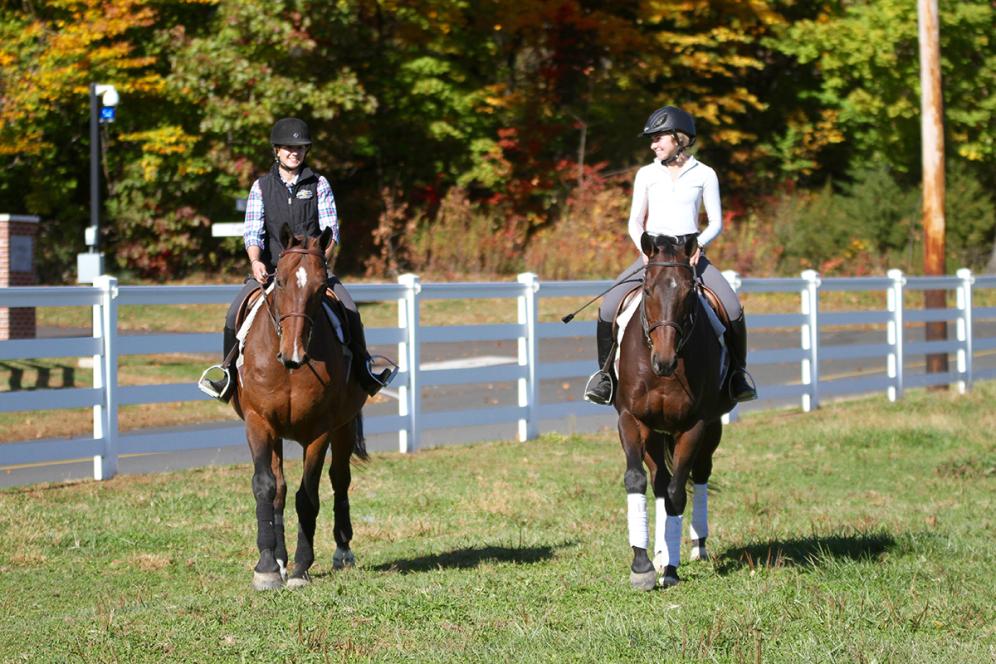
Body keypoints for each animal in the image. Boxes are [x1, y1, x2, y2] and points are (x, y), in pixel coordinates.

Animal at [230, 224, 370, 592]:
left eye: (321, 288)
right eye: (279, 281)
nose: (294, 354)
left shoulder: (320, 432)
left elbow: (308, 496)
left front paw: (300, 568)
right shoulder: (258, 423)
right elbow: (266, 487)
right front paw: (267, 566)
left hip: (343, 428)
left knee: (340, 479)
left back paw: (342, 552)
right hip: (276, 434)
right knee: (278, 487)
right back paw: (279, 559)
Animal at [612, 233, 736, 592]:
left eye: (687, 292)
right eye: (648, 290)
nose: (664, 361)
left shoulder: (694, 426)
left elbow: (677, 494)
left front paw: (671, 569)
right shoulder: (630, 419)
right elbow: (637, 480)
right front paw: (642, 566)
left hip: (711, 429)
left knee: (699, 474)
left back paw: (696, 547)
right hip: (654, 433)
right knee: (658, 481)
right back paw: (658, 553)